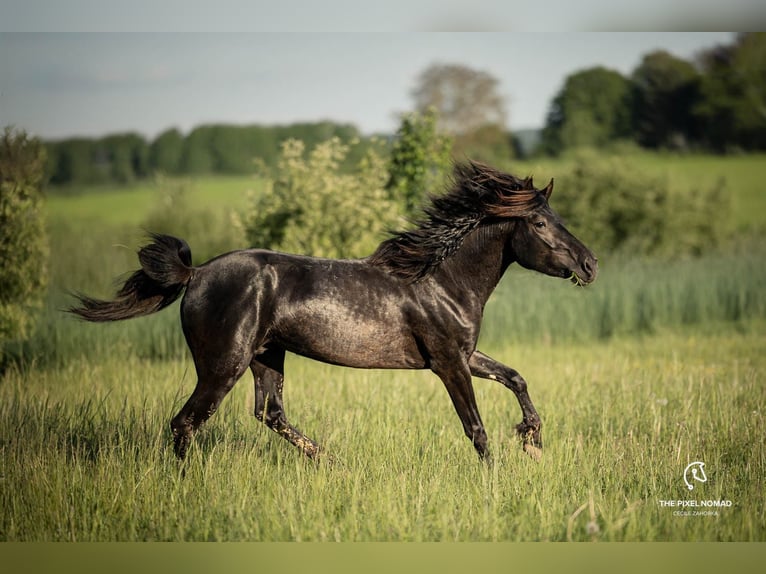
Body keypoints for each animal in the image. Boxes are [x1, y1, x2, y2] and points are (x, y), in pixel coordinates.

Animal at [69, 161, 598, 462]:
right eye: (539, 222)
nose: (590, 264)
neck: (442, 281)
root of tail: (195, 274)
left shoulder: (465, 354)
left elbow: (516, 378)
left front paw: (532, 441)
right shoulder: (448, 362)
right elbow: (476, 427)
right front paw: (498, 474)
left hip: (267, 355)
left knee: (269, 412)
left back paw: (328, 460)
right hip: (223, 365)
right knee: (187, 423)